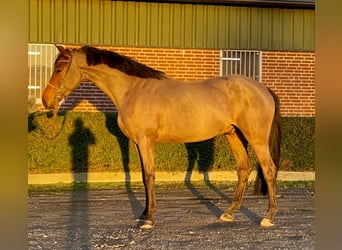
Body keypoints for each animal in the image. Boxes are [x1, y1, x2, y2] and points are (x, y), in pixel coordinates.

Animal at [42, 45, 280, 229]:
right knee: (243, 170)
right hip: (234, 135)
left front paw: (148, 218)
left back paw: (268, 217)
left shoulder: (146, 140)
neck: (133, 90)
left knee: (268, 169)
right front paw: (143, 214)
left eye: (59, 68)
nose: (45, 100)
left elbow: (149, 176)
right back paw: (229, 213)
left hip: (256, 139)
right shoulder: (138, 143)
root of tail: (264, 89)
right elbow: (143, 177)